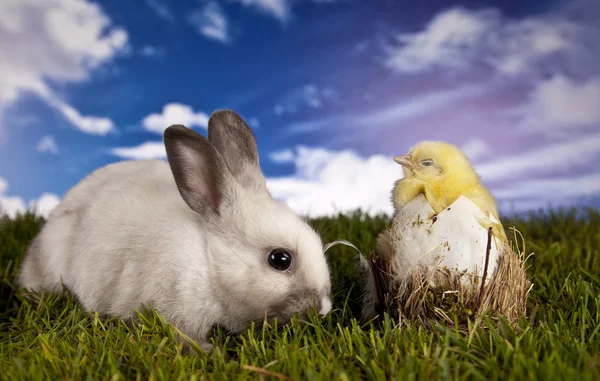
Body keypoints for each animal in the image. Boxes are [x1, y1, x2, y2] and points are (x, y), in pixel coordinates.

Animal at [17, 108, 332, 352]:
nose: (325, 308)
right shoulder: (172, 307)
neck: (209, 261)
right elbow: (182, 334)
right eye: (280, 259)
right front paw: (210, 351)